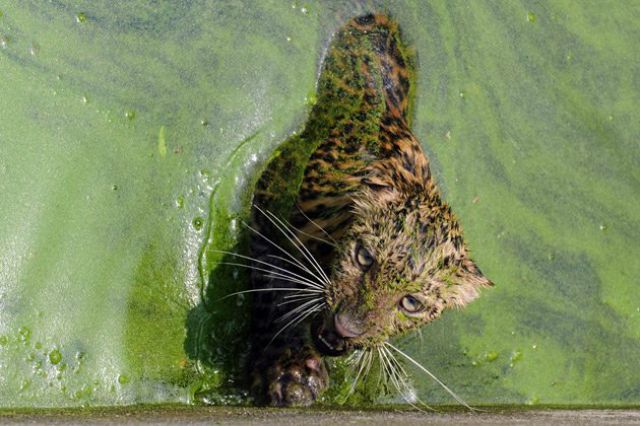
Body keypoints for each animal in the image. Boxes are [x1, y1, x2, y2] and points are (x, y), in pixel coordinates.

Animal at [242, 12, 492, 406]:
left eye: (411, 303)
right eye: (363, 257)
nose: (347, 328)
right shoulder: (267, 206)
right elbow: (276, 288)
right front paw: (292, 372)